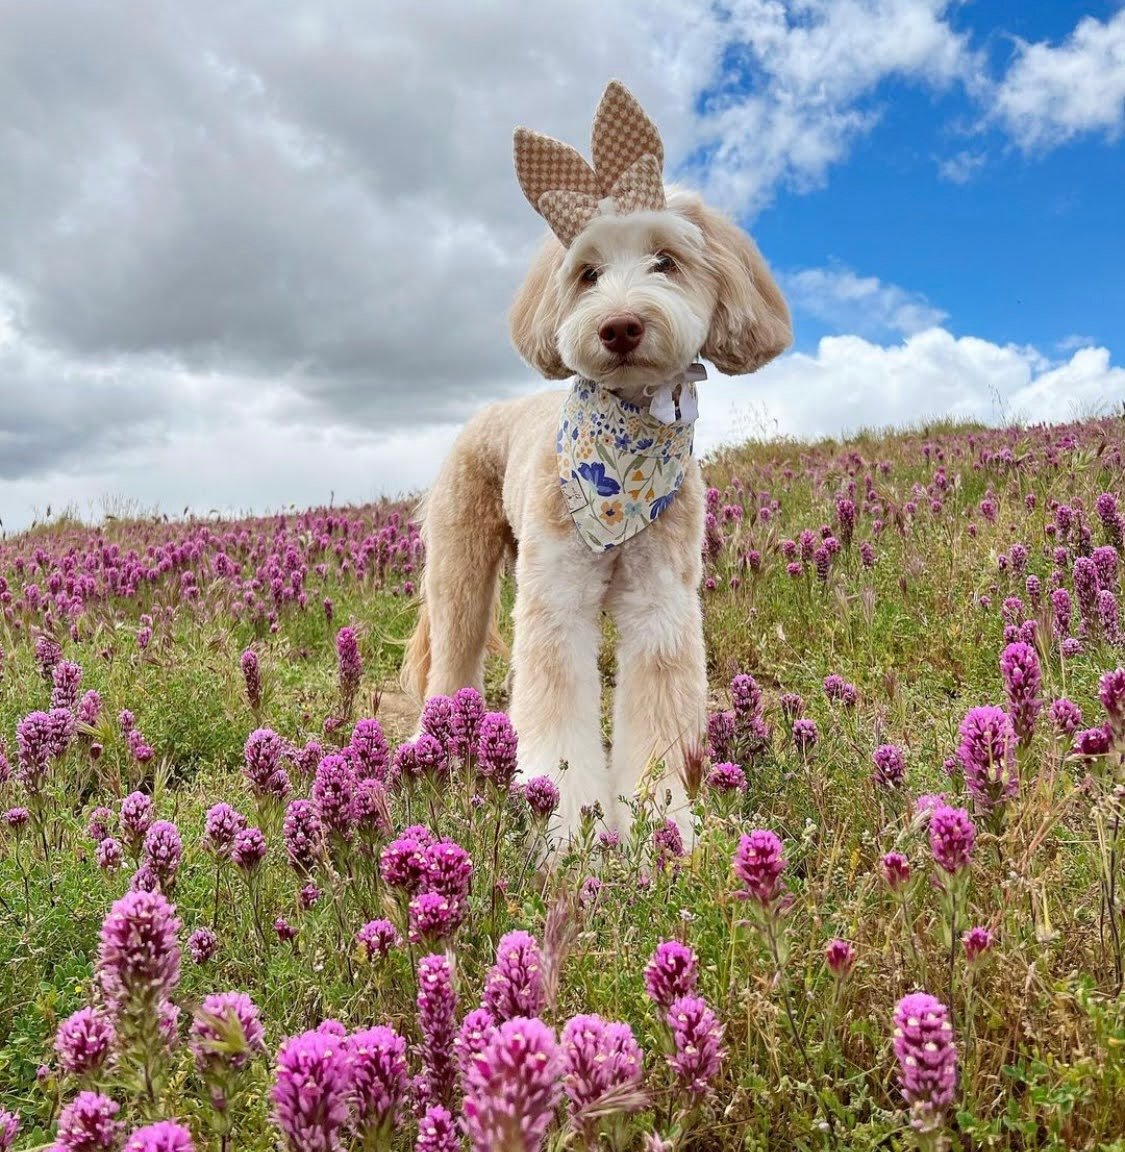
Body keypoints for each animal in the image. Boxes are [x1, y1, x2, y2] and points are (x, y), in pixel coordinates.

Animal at [403, 78, 792, 838]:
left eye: (666, 261)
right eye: (586, 273)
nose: (620, 325)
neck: (625, 455)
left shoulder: (661, 606)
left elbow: (655, 724)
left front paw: (660, 832)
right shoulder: (556, 601)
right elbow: (555, 723)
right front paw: (566, 834)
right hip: (461, 566)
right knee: (449, 666)